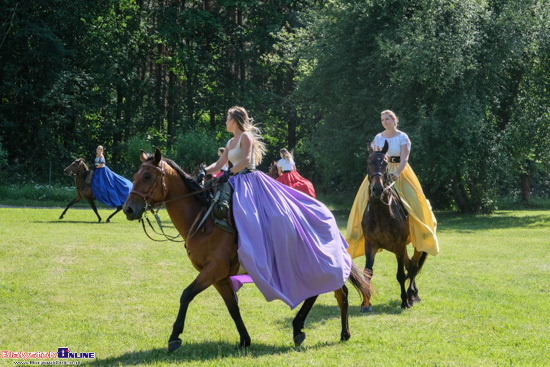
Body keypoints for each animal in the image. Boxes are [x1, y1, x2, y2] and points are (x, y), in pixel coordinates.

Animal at [123, 149, 374, 354]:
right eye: (135, 176)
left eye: (147, 176)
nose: (128, 209)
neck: (204, 219)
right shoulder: (219, 276)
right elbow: (232, 308)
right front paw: (244, 340)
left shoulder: (213, 270)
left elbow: (186, 295)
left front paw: (174, 337)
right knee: (334, 292)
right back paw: (315, 329)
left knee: (333, 293)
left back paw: (319, 330)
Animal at [364, 142, 430, 312]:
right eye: (368, 162)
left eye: (386, 163)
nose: (378, 189)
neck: (380, 212)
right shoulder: (370, 245)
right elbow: (367, 273)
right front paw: (365, 304)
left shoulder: (399, 246)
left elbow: (400, 275)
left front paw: (404, 301)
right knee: (410, 264)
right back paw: (413, 293)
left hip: (417, 245)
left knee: (413, 266)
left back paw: (412, 296)